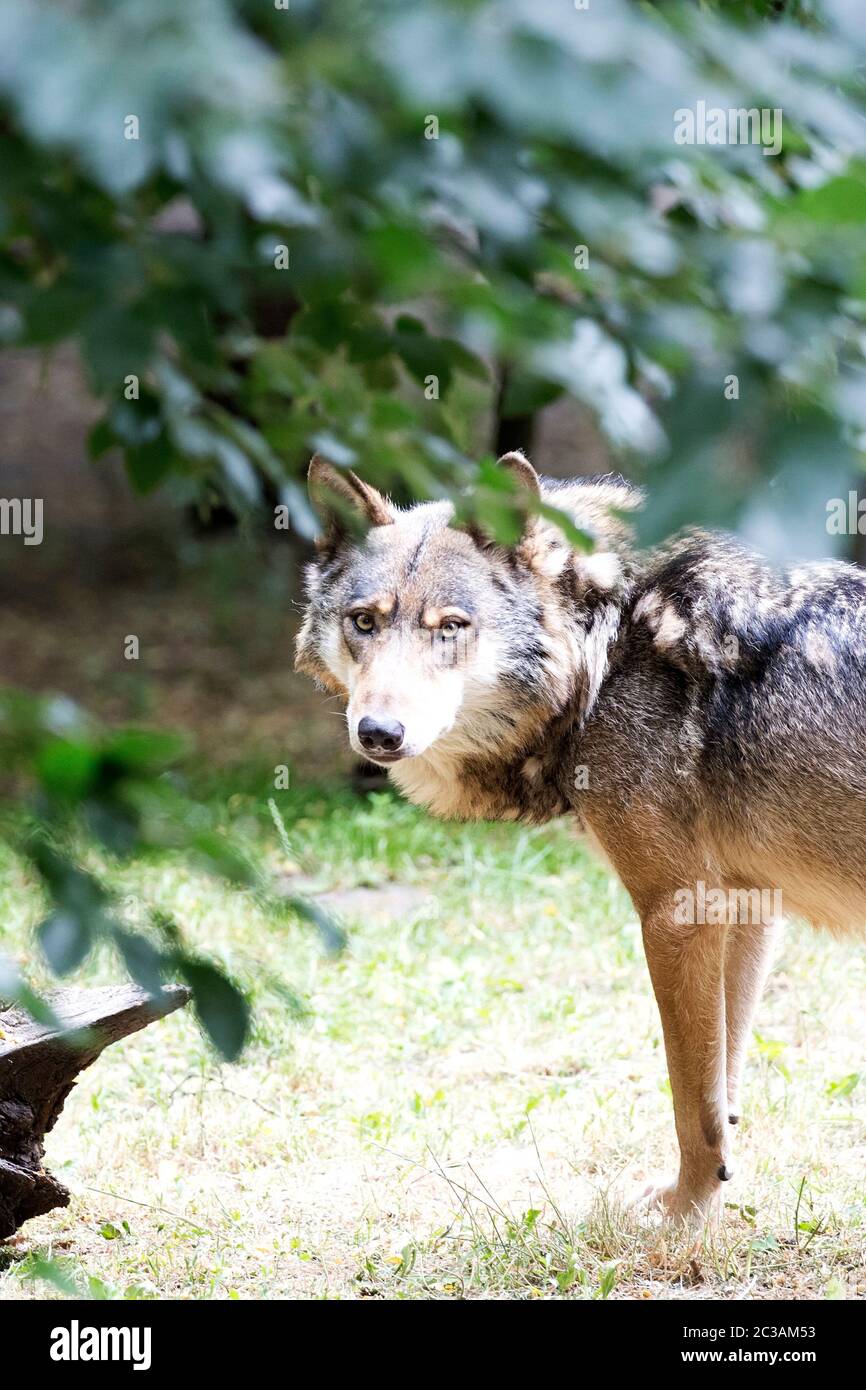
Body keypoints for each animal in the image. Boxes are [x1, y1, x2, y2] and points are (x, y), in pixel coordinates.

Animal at [296, 451, 866, 1223]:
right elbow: (725, 1081)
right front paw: (713, 1198)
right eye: (364, 621)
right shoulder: (747, 905)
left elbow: (692, 1098)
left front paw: (680, 1217)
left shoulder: (678, 911)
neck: (605, 643)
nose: (378, 733)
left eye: (450, 626)